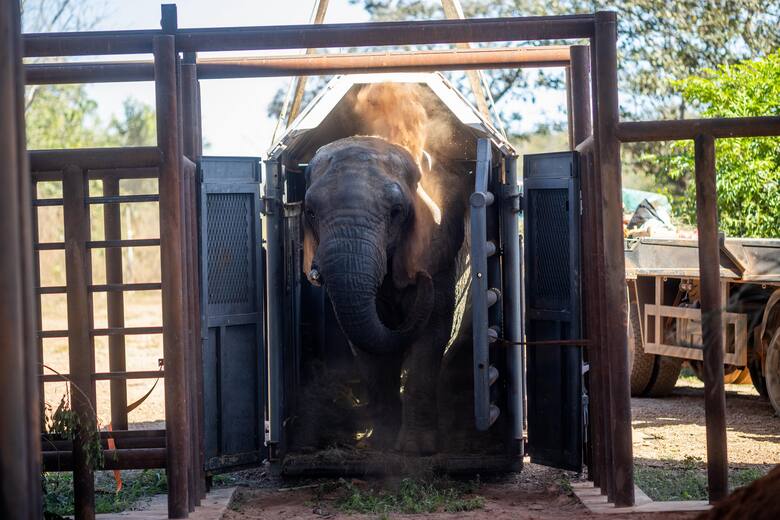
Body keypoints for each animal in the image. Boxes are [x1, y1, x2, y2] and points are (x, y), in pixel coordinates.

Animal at [302, 135, 471, 454]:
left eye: (396, 211)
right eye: (310, 212)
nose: (420, 277)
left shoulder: (439, 254)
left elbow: (431, 334)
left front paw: (417, 450)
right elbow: (368, 350)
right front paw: (379, 445)